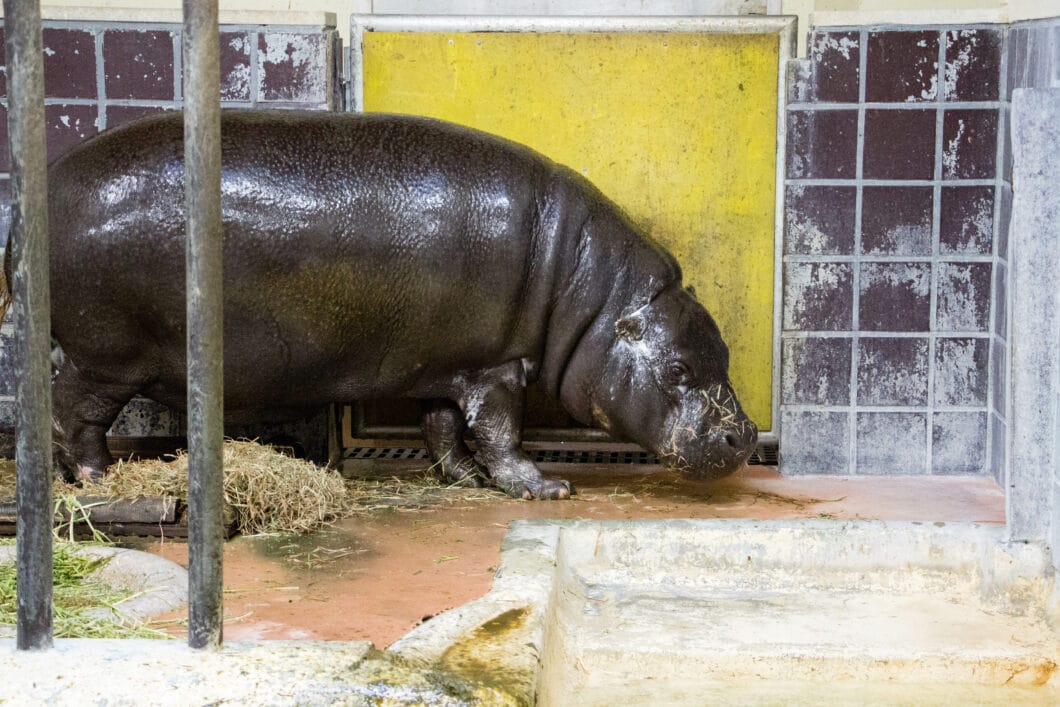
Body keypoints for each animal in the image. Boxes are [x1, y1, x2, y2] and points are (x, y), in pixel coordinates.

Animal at [4, 109, 758, 498]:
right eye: (679, 371)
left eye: (721, 352)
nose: (745, 436)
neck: (594, 300)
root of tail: (37, 192)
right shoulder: (498, 366)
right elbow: (499, 430)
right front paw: (542, 487)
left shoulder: (450, 361)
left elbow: (443, 426)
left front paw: (462, 479)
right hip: (106, 354)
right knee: (72, 412)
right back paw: (99, 477)